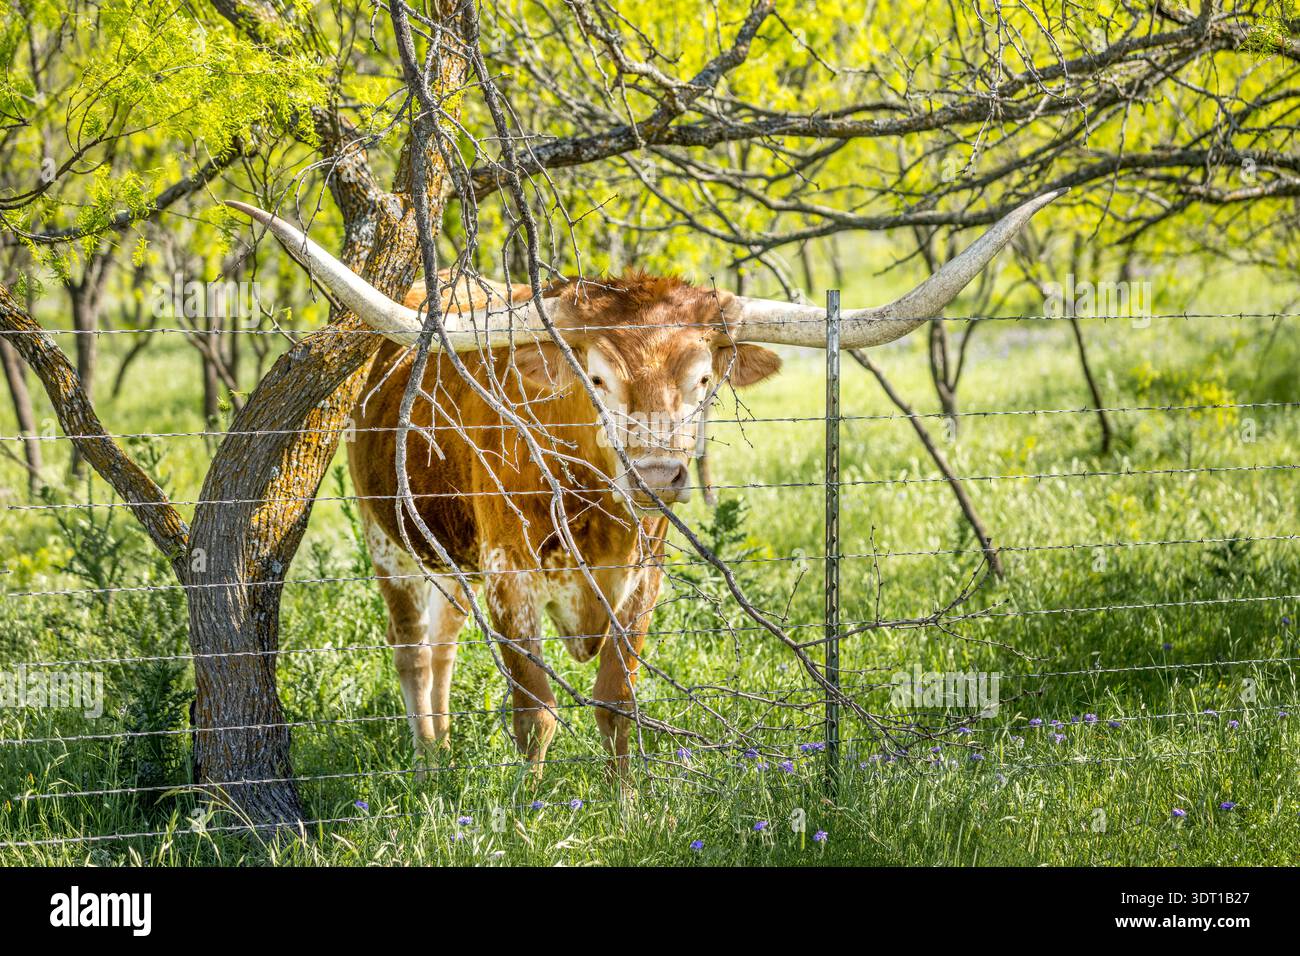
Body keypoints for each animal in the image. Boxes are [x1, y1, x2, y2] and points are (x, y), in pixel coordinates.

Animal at [227, 189, 1063, 776]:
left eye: (703, 380)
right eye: (595, 377)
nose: (659, 473)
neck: (594, 508)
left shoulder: (644, 575)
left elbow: (617, 705)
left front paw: (628, 808)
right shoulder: (509, 575)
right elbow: (535, 711)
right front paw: (530, 815)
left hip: (448, 558)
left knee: (442, 649)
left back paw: (443, 754)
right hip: (389, 543)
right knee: (410, 653)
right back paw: (430, 767)